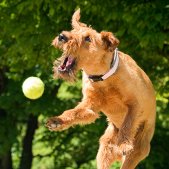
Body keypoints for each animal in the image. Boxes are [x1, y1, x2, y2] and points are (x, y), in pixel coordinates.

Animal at [46, 8, 156, 169]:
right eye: (73, 30)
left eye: (88, 38)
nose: (62, 36)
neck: (102, 78)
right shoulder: (89, 105)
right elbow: (73, 112)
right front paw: (57, 121)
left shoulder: (135, 103)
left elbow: (128, 124)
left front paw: (123, 144)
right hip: (104, 149)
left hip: (135, 153)